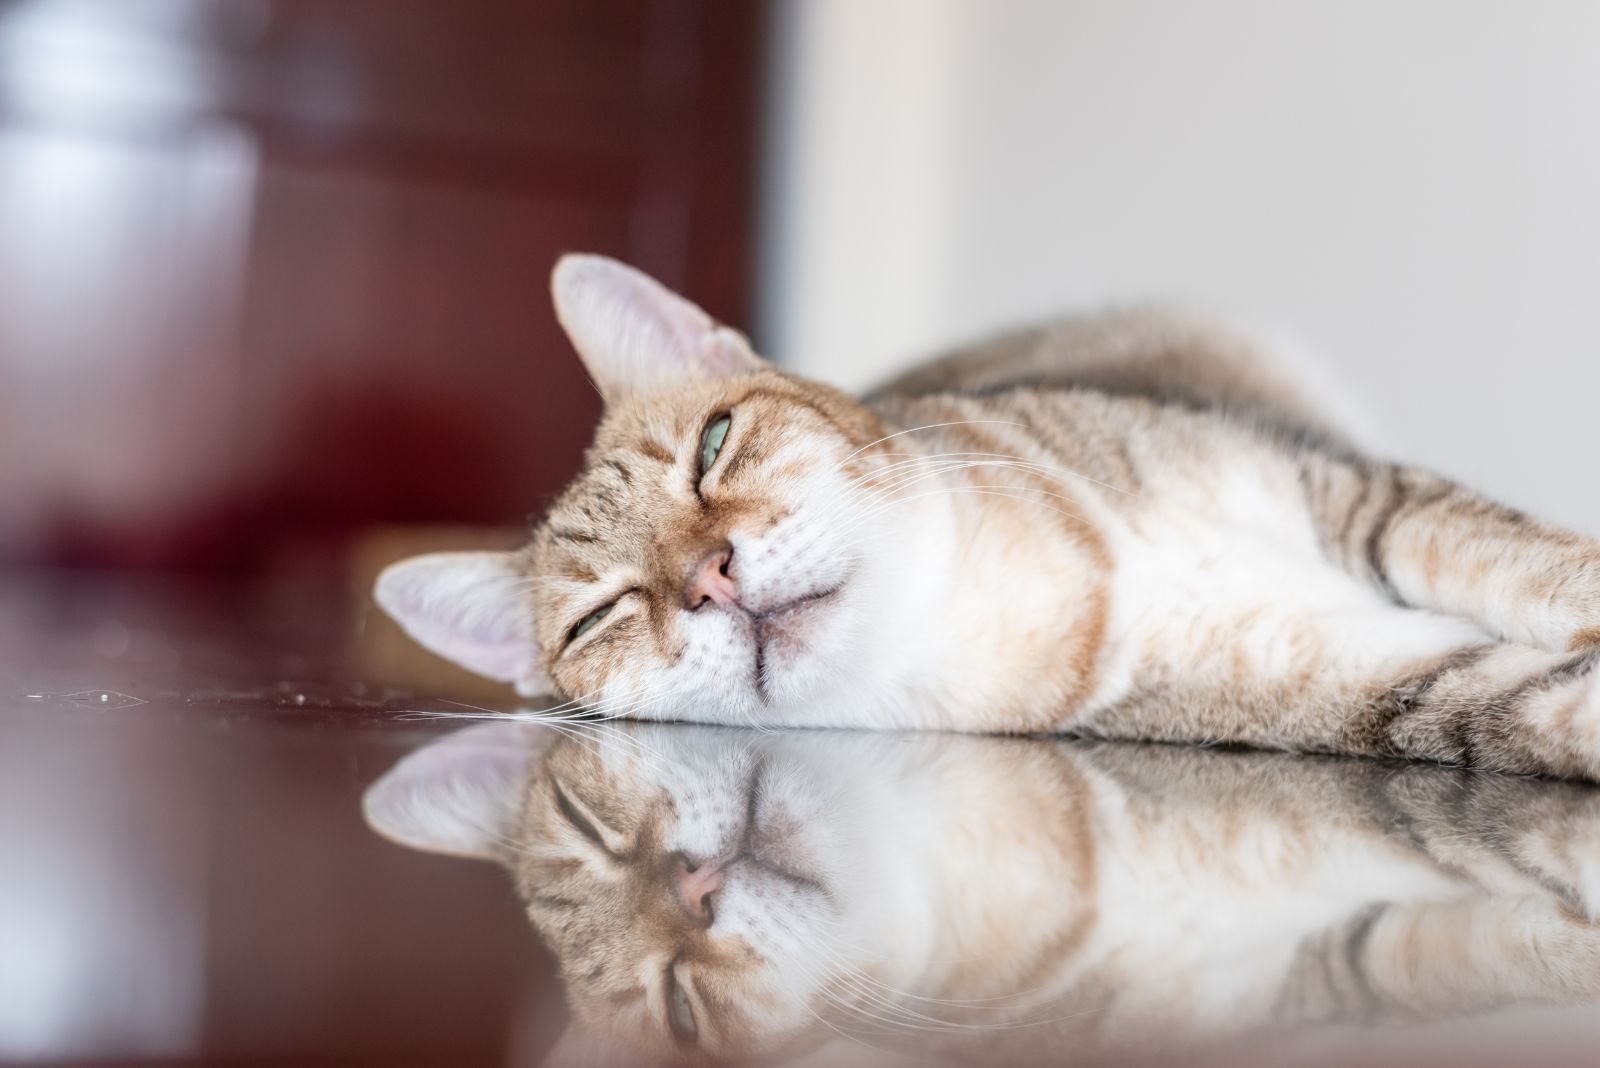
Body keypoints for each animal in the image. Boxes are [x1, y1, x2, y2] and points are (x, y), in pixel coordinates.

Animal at [377, 254, 1600, 780]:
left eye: (713, 445)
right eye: (600, 616)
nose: (710, 575)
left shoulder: (1345, 489)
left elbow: (1511, 554)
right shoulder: (1397, 686)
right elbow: (1536, 706)